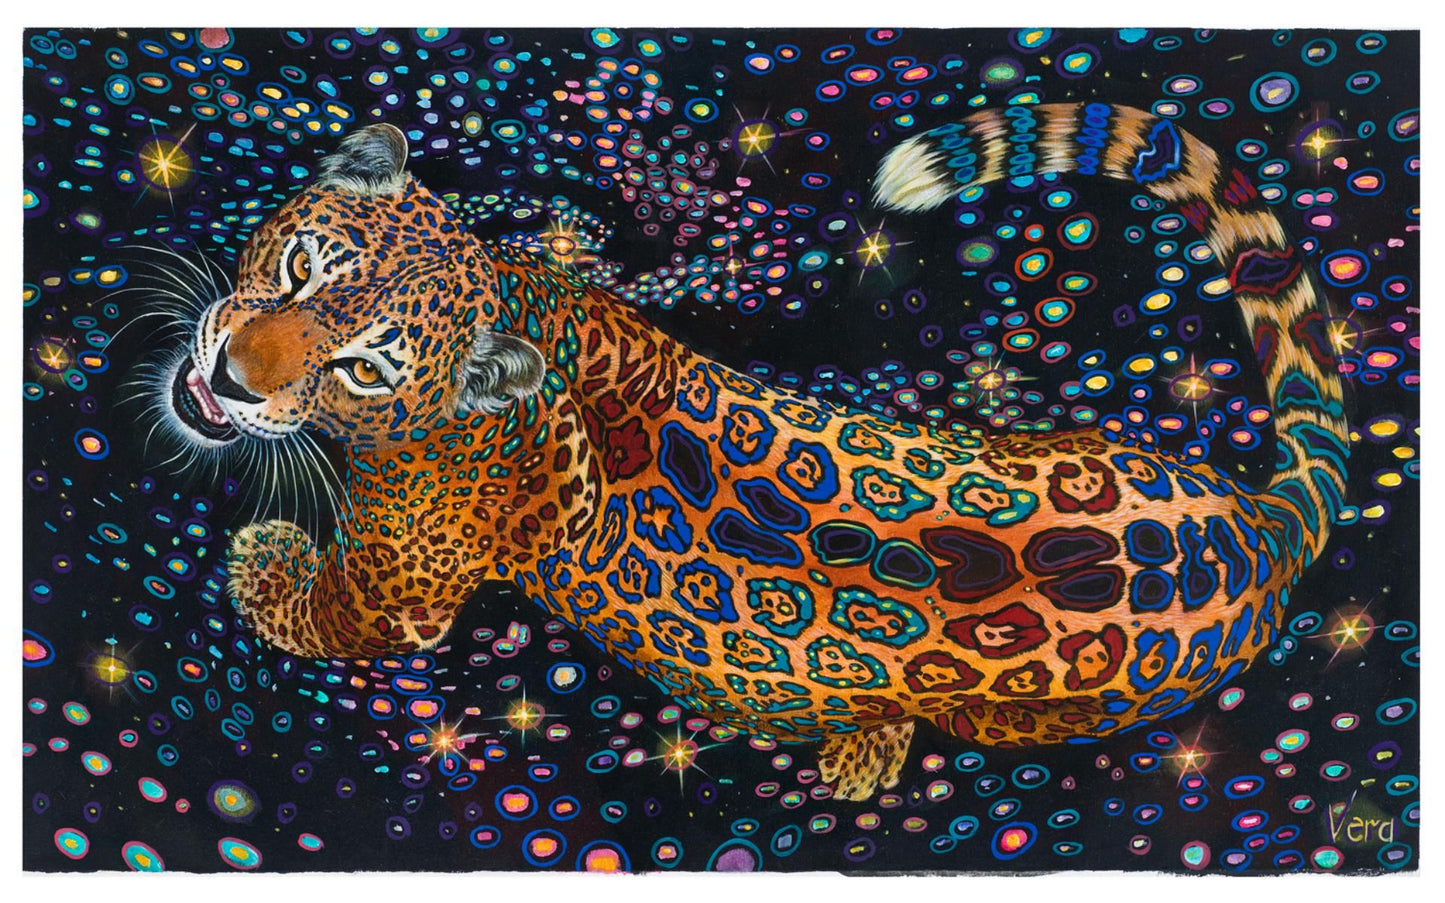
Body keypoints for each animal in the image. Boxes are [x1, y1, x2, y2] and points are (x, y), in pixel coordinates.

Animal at [153, 106, 1349, 801]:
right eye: (300, 267)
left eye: (363, 368)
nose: (230, 377)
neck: (524, 312)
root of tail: (1262, 524)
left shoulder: (402, 583)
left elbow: (327, 611)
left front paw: (260, 562)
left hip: (1019, 715)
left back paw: (858, 753)